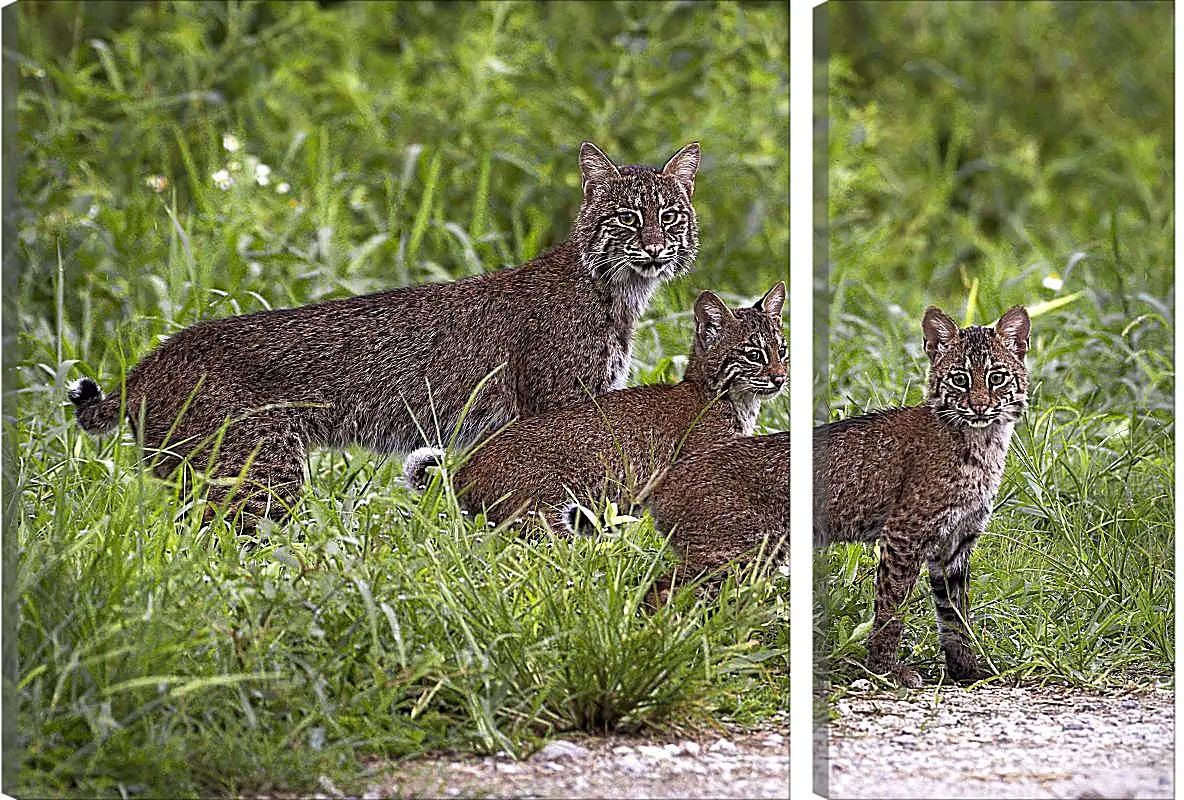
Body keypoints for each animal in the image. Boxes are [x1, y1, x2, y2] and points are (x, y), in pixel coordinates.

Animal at [69, 139, 696, 525]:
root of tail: (151, 359)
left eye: (671, 217)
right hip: (258, 475)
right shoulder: (557, 407)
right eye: (626, 218)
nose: (654, 248)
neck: (619, 290)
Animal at [407, 282, 786, 530]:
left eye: (782, 350)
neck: (733, 400)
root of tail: (466, 465)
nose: (781, 378)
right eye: (754, 355)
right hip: (545, 508)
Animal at [814, 302, 1027, 686]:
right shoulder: (905, 531)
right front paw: (885, 669)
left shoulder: (956, 541)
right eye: (960, 379)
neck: (984, 441)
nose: (979, 407)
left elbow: (954, 613)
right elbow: (892, 605)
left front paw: (966, 670)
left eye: (996, 377)